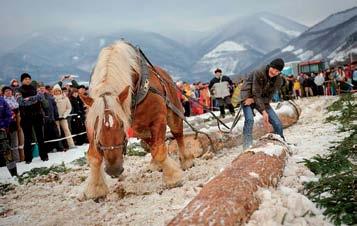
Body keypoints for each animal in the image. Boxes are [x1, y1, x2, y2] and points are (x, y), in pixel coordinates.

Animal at [79, 41, 193, 200]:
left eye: (121, 124)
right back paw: (156, 164)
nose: (113, 169)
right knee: (150, 142)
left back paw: (186, 160)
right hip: (140, 129)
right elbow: (94, 156)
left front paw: (173, 177)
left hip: (173, 111)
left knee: (177, 134)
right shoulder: (92, 128)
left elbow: (159, 150)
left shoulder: (158, 118)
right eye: (98, 126)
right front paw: (96, 188)